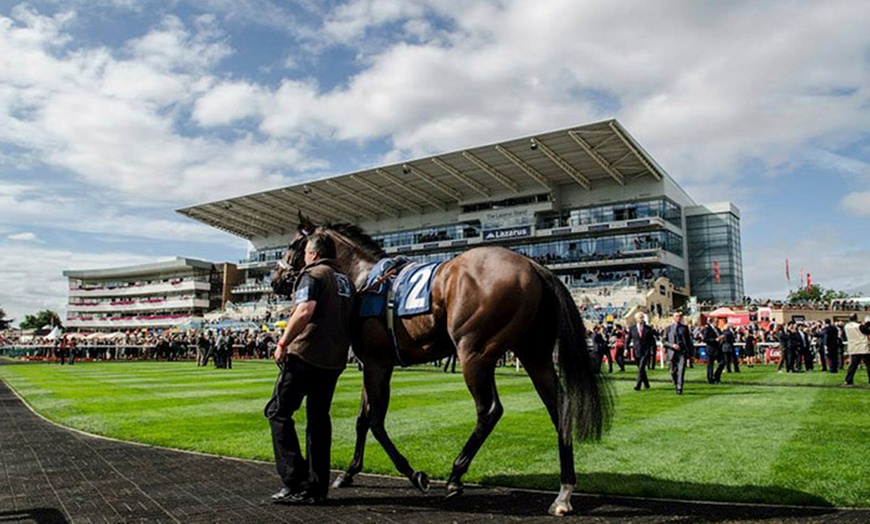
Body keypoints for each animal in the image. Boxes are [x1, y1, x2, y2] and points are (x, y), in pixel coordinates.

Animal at [272, 214, 612, 516]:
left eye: (290, 245)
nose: (276, 281)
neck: (363, 280)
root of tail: (535, 266)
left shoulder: (376, 364)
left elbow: (375, 422)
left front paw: (414, 475)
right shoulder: (375, 363)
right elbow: (363, 419)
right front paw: (349, 472)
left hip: (474, 353)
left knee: (489, 410)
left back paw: (455, 476)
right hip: (535, 355)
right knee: (559, 407)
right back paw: (563, 493)